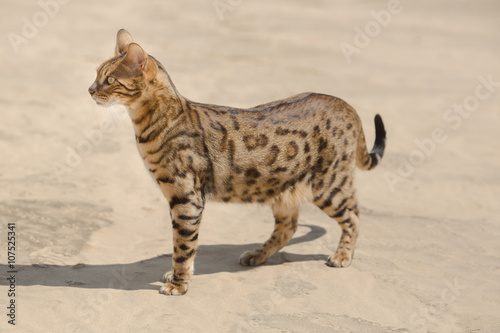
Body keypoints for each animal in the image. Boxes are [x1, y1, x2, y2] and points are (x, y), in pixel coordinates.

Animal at [90, 28, 386, 294]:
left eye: (109, 79)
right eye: (96, 74)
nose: (90, 90)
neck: (154, 123)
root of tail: (344, 103)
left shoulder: (187, 199)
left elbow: (183, 247)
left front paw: (179, 284)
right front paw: (177, 277)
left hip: (329, 185)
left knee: (353, 216)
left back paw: (342, 256)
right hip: (283, 188)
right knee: (288, 227)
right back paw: (257, 255)